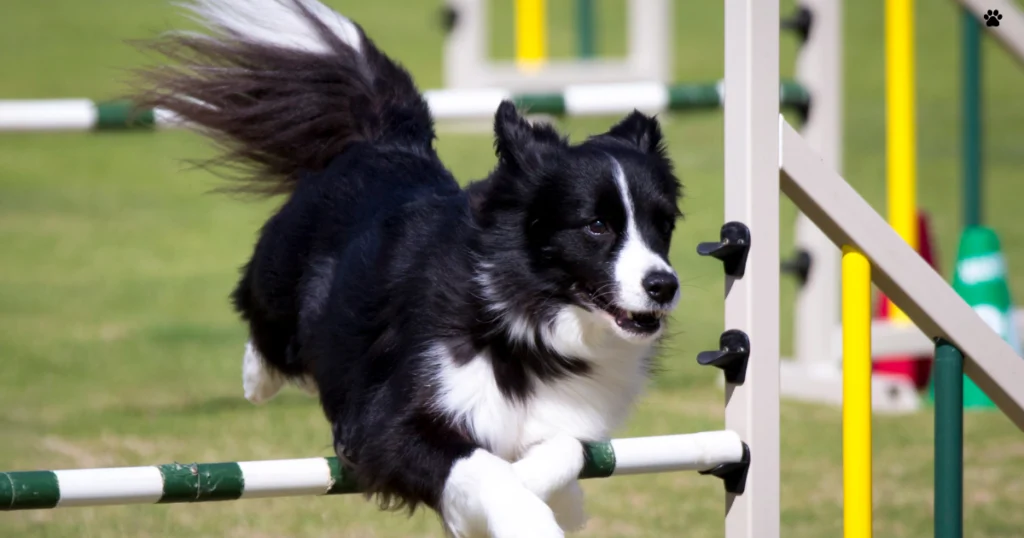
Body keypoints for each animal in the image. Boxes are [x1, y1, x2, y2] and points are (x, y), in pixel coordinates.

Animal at [134, 2, 679, 532]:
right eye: (596, 226)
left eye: (664, 223)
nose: (664, 286)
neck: (522, 317)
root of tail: (385, 141)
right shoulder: (385, 422)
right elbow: (480, 465)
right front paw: (528, 518)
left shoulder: (559, 418)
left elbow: (561, 451)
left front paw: (561, 503)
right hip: (281, 280)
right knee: (264, 323)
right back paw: (258, 378)